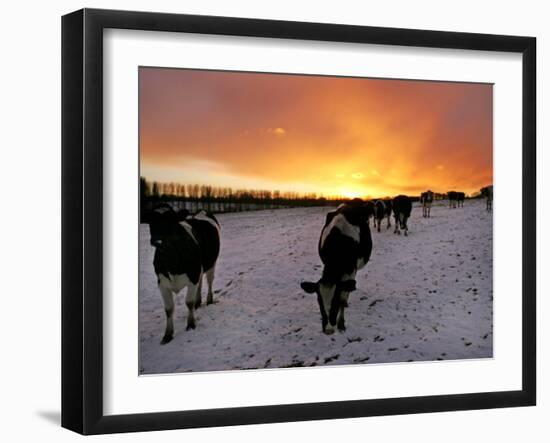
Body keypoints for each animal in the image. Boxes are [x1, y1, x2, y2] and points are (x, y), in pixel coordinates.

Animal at [149, 203, 224, 346]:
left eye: (171, 220)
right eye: (151, 221)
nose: (158, 241)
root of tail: (202, 211)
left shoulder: (193, 276)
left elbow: (188, 302)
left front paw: (190, 324)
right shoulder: (161, 283)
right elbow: (168, 309)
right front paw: (167, 335)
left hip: (211, 263)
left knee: (209, 281)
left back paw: (209, 300)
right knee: (200, 284)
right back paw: (198, 302)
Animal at [302, 200, 376, 332]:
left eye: (335, 301)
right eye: (319, 301)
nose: (328, 329)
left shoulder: (351, 269)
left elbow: (343, 296)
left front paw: (341, 322)